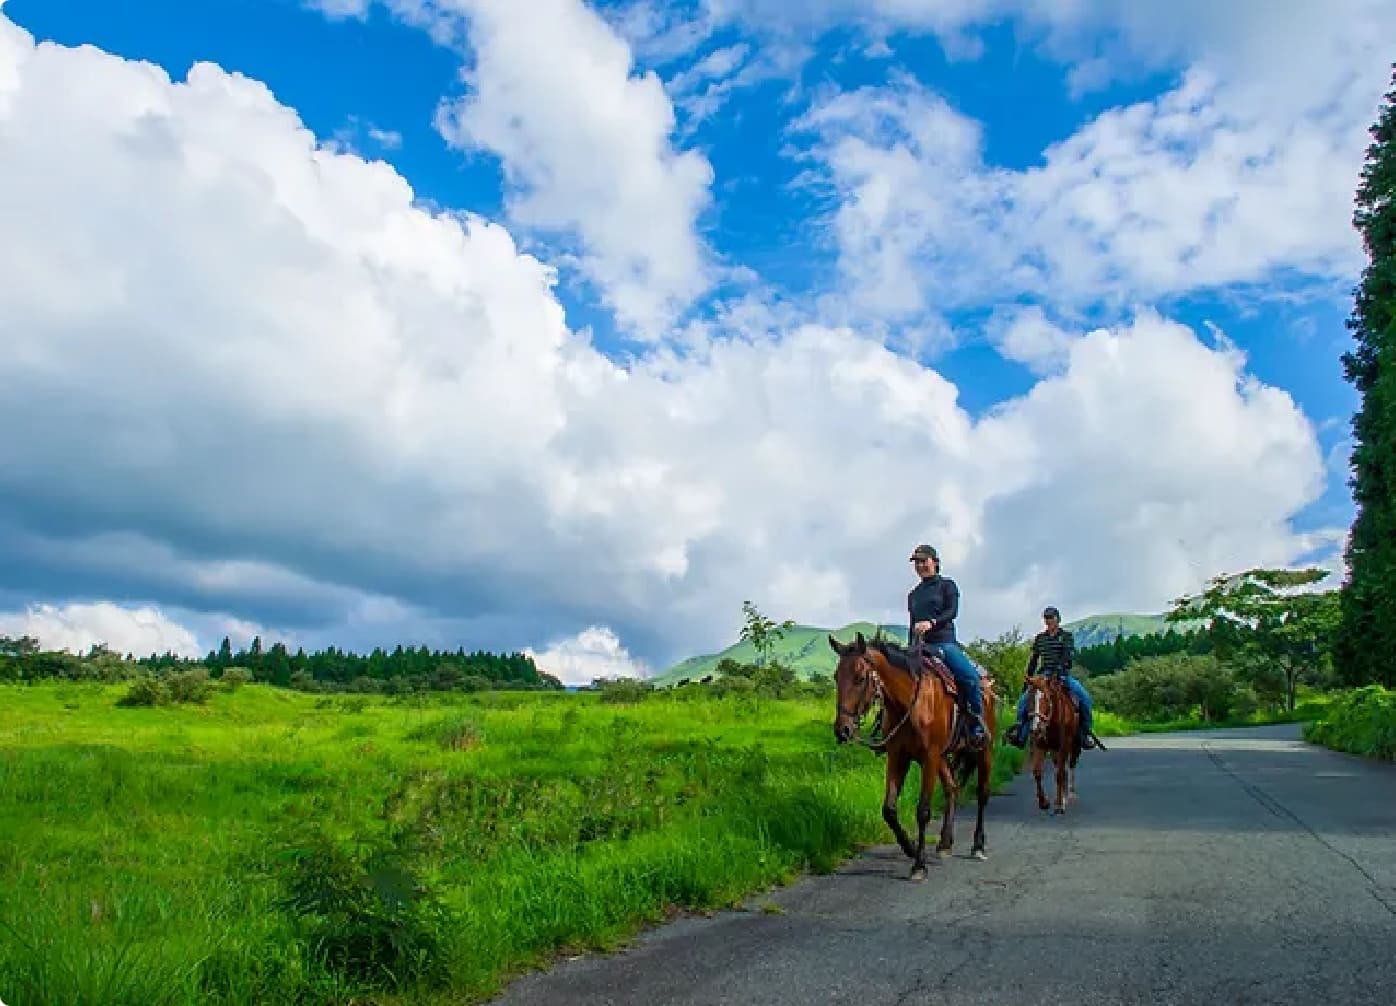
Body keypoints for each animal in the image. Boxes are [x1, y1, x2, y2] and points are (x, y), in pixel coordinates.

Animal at [826, 630, 993, 881]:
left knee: (982, 795)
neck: (911, 703)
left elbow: (923, 811)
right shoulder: (898, 756)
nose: (842, 730)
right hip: (944, 758)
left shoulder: (929, 758)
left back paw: (978, 845)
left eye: (859, 678)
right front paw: (911, 848)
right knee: (952, 789)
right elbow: (889, 810)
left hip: (983, 751)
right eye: (836, 677)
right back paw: (945, 843)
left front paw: (919, 865)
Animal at [1027, 669, 1077, 814]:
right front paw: (1044, 802)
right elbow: (1037, 772)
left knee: (1067, 768)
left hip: (1072, 747)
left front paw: (1060, 804)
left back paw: (1066, 796)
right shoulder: (1040, 745)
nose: (1036, 728)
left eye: (1046, 698)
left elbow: (1059, 774)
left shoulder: (1063, 746)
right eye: (1029, 698)